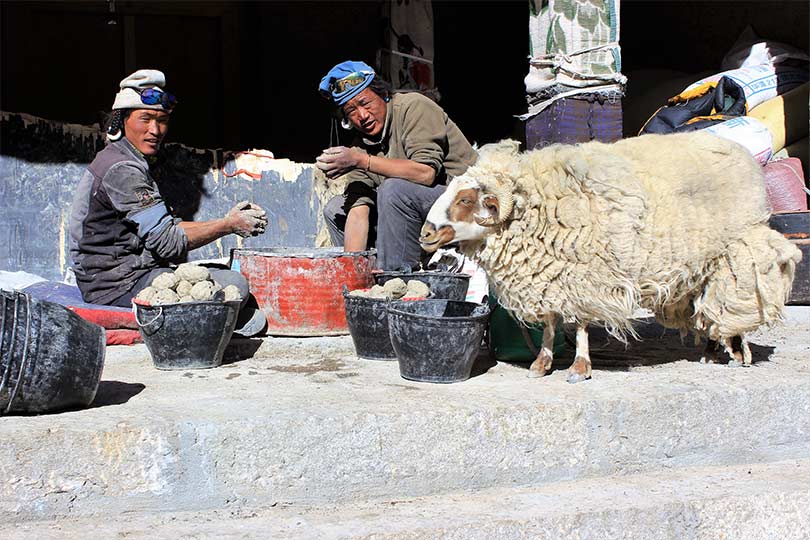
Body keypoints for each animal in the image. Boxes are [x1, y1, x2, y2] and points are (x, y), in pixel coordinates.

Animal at [420, 132, 800, 382]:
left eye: (465, 200)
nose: (425, 234)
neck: (540, 204)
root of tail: (741, 152)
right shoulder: (552, 275)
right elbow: (551, 324)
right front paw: (542, 364)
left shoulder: (587, 275)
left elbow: (581, 325)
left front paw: (579, 368)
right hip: (702, 267)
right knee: (706, 309)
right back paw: (710, 351)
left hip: (732, 256)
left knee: (732, 304)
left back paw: (736, 349)